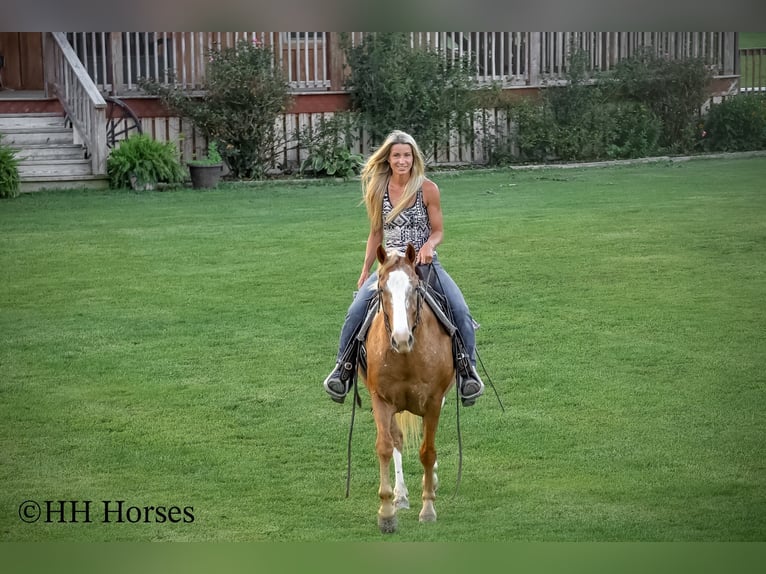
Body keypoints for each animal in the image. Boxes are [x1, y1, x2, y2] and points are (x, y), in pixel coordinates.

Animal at [361, 242, 456, 533]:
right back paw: (401, 495)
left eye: (414, 288)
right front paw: (386, 512)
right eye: (381, 289)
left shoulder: (434, 401)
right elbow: (385, 446)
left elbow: (427, 451)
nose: (401, 339)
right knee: (397, 439)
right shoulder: (380, 399)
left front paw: (428, 509)